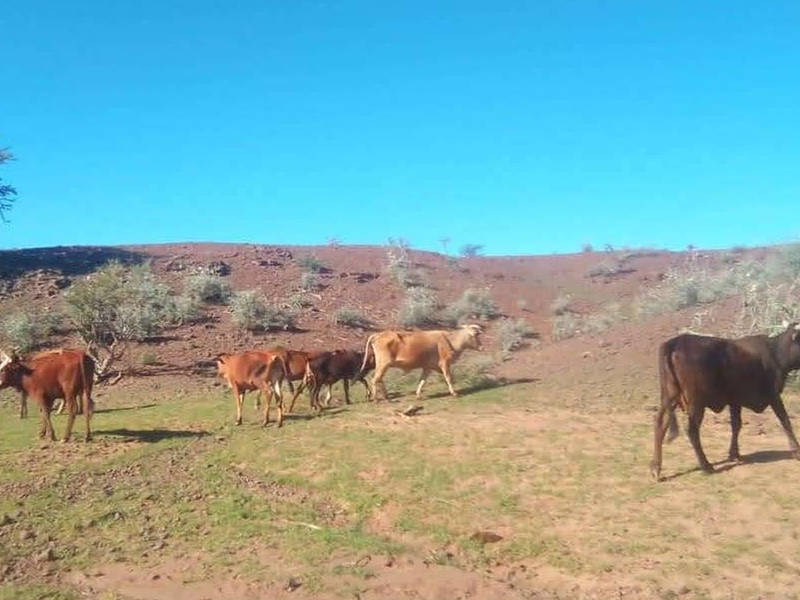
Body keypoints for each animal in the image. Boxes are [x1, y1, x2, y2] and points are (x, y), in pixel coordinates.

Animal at [650, 322, 800, 481]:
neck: (775, 352)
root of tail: (676, 341)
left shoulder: (735, 401)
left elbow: (736, 425)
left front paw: (734, 453)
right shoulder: (773, 395)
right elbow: (785, 420)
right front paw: (796, 451)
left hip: (669, 399)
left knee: (660, 424)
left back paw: (656, 467)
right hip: (696, 403)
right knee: (692, 430)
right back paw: (706, 466)